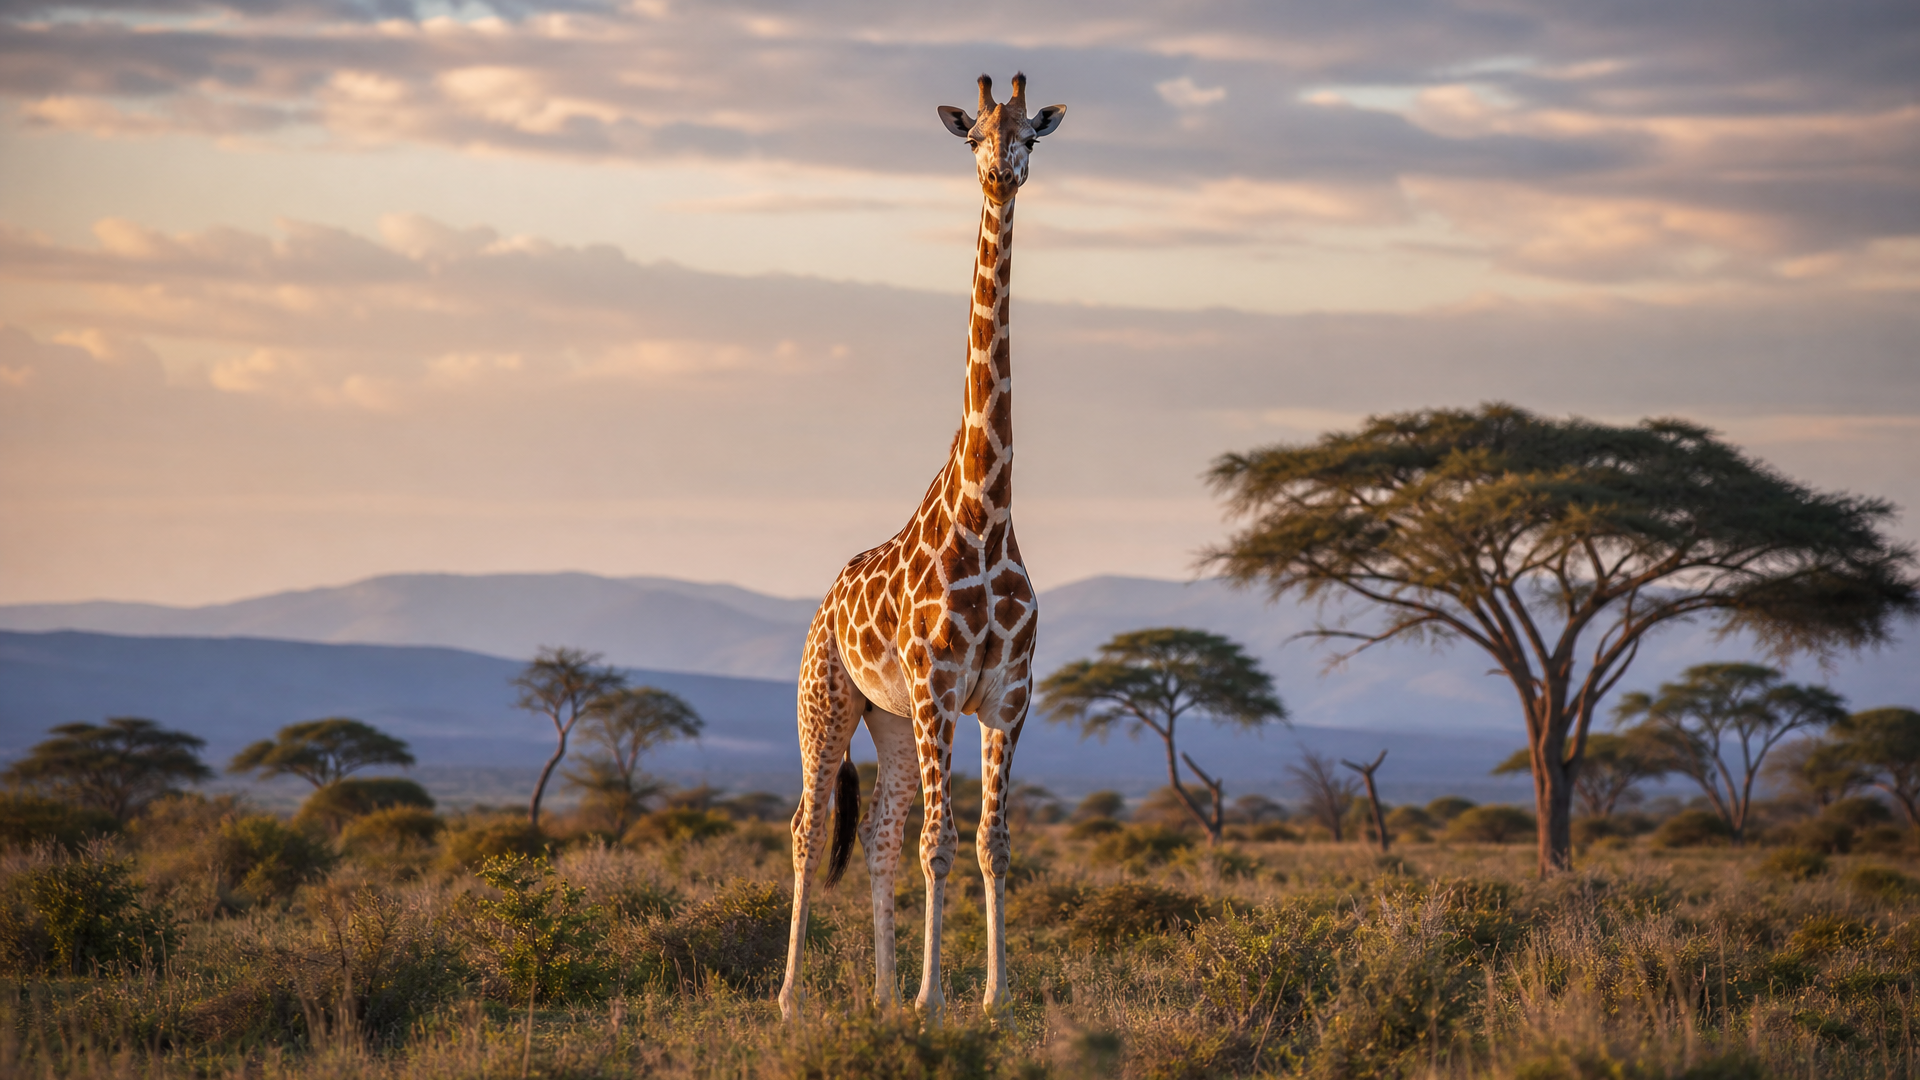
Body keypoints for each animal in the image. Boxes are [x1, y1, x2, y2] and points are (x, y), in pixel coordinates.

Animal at [777, 72, 1065, 1024]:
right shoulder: (941, 689)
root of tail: (824, 600)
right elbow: (941, 843)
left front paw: (993, 998)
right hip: (828, 701)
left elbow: (991, 843)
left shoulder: (1006, 698)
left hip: (890, 721)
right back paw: (792, 996)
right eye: (972, 134)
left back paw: (877, 992)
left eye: (1031, 135)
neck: (987, 513)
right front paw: (935, 1001)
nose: (1002, 173)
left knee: (875, 834)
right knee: (810, 825)